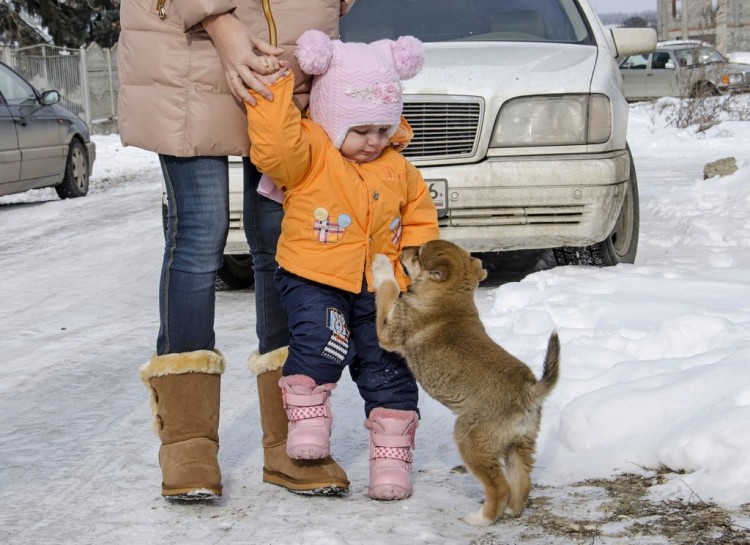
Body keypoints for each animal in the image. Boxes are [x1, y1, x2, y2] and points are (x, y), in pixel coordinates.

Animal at [374, 240, 560, 524]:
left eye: (418, 253)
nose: (405, 247)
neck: (450, 297)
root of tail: (528, 392)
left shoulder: (389, 332)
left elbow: (388, 289)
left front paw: (381, 265)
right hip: (519, 445)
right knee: (522, 482)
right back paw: (511, 511)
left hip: (471, 442)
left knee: (500, 486)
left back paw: (481, 519)